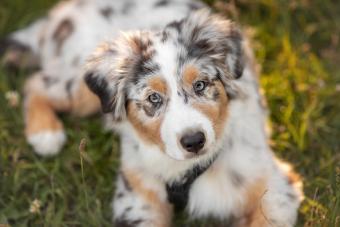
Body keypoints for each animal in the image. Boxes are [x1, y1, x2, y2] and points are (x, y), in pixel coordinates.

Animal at [0, 0, 302, 227]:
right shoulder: (137, 199)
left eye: (200, 85)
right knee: (36, 83)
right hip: (81, 82)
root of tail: (65, 10)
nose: (194, 141)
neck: (188, 170)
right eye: (153, 98)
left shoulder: (274, 187)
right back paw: (45, 134)